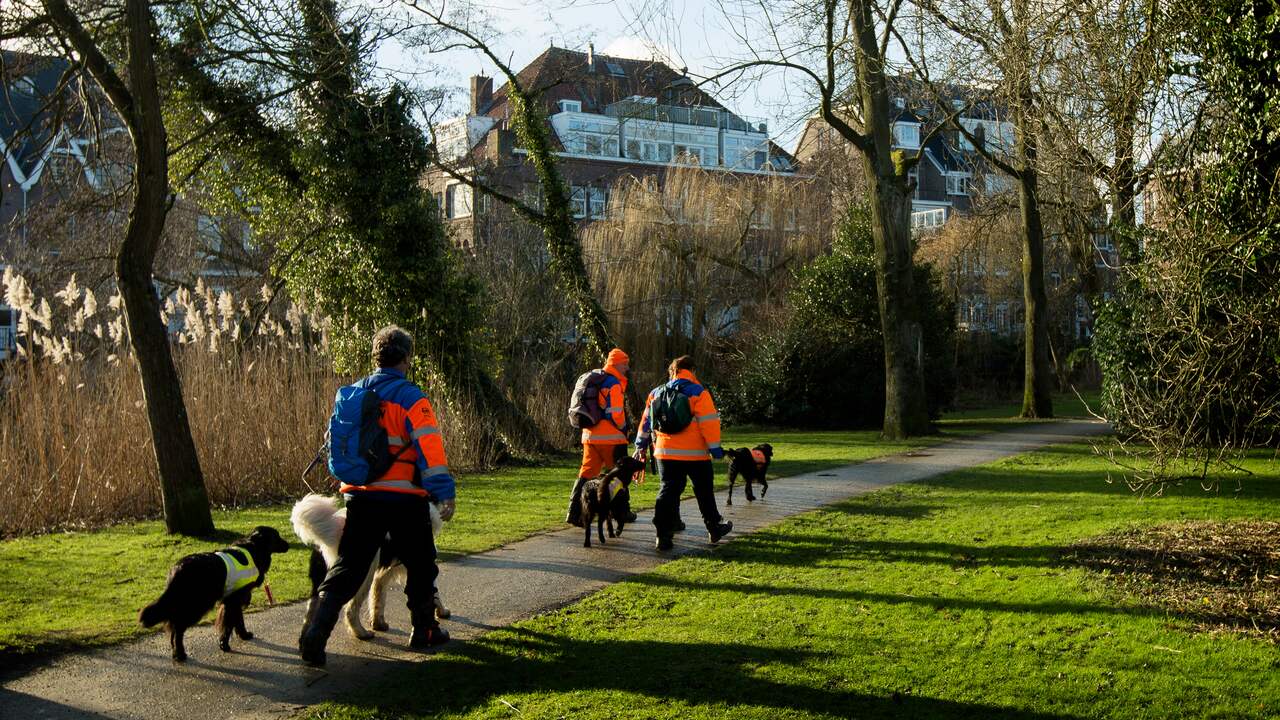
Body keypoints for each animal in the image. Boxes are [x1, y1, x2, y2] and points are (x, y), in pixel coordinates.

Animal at [140, 525, 290, 661]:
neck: (255, 548)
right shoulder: (234, 599)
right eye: (277, 536)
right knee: (178, 627)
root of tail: (177, 568)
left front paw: (243, 635)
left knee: (173, 625)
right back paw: (180, 654)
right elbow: (229, 623)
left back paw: (176, 653)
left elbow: (237, 620)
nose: (288, 545)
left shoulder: (234, 599)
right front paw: (224, 644)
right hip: (196, 605)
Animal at [290, 491, 450, 638]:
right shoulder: (421, 565)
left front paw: (378, 623)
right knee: (351, 609)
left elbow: (378, 597)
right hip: (361, 577)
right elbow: (434, 592)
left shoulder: (385, 572)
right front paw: (441, 612)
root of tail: (330, 531)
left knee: (313, 609)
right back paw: (361, 633)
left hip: (323, 579)